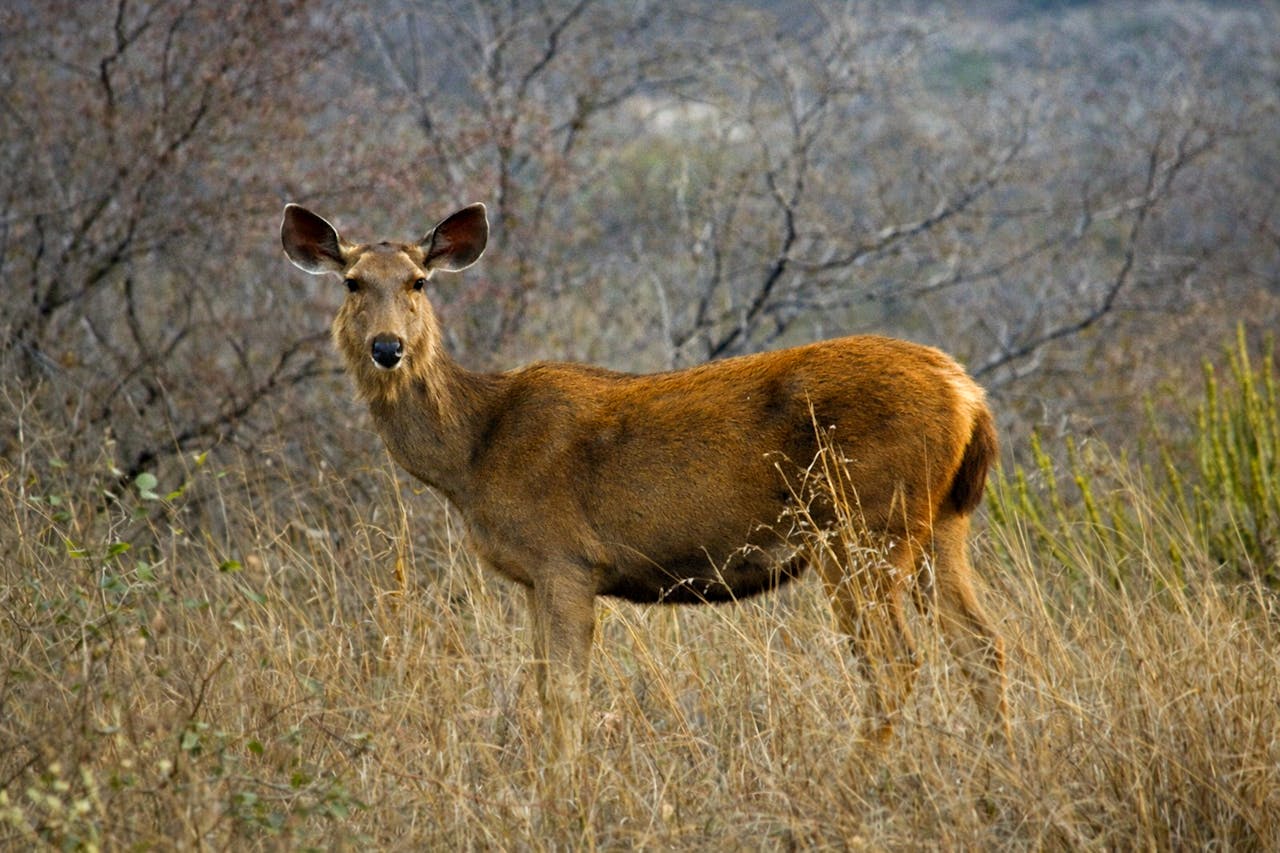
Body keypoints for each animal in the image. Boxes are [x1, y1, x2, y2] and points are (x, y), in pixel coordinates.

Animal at [281, 201, 1010, 750]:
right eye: (352, 282)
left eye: (418, 282)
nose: (387, 348)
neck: (475, 451)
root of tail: (968, 396)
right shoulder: (535, 575)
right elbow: (543, 688)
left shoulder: (564, 558)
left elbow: (564, 695)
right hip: (938, 526)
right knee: (983, 647)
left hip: (862, 524)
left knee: (892, 663)